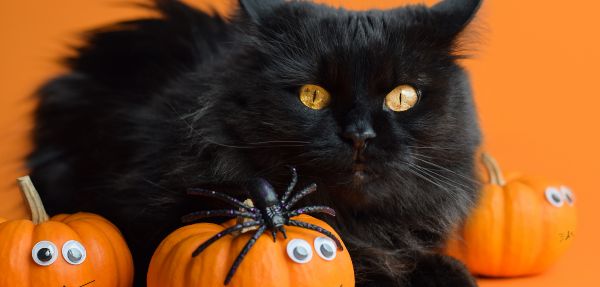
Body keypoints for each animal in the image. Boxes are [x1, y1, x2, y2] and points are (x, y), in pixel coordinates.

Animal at [30, 0, 486, 286]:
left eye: (402, 97)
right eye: (312, 95)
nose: (359, 134)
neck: (355, 217)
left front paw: (443, 271)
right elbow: (359, 259)